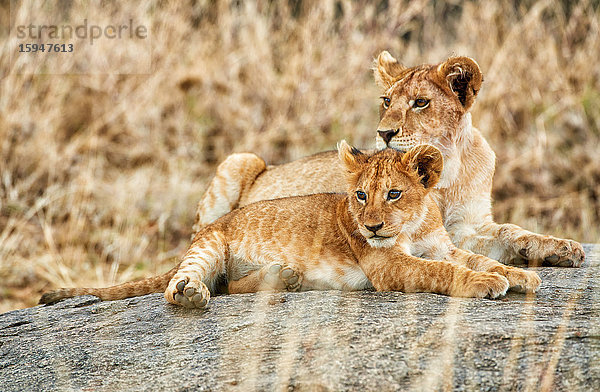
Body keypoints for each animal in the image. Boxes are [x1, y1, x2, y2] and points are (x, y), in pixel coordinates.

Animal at [39, 142, 540, 308]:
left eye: (394, 194)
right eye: (360, 195)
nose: (372, 228)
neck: (413, 225)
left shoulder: (442, 245)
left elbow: (473, 257)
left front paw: (519, 274)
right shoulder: (388, 267)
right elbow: (444, 272)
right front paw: (487, 284)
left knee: (231, 286)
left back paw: (284, 277)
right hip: (210, 244)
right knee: (192, 284)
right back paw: (192, 294)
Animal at [193, 51, 584, 266]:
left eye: (420, 102)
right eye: (386, 101)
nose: (384, 133)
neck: (447, 168)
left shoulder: (468, 224)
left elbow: (510, 229)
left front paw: (559, 248)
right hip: (239, 159)